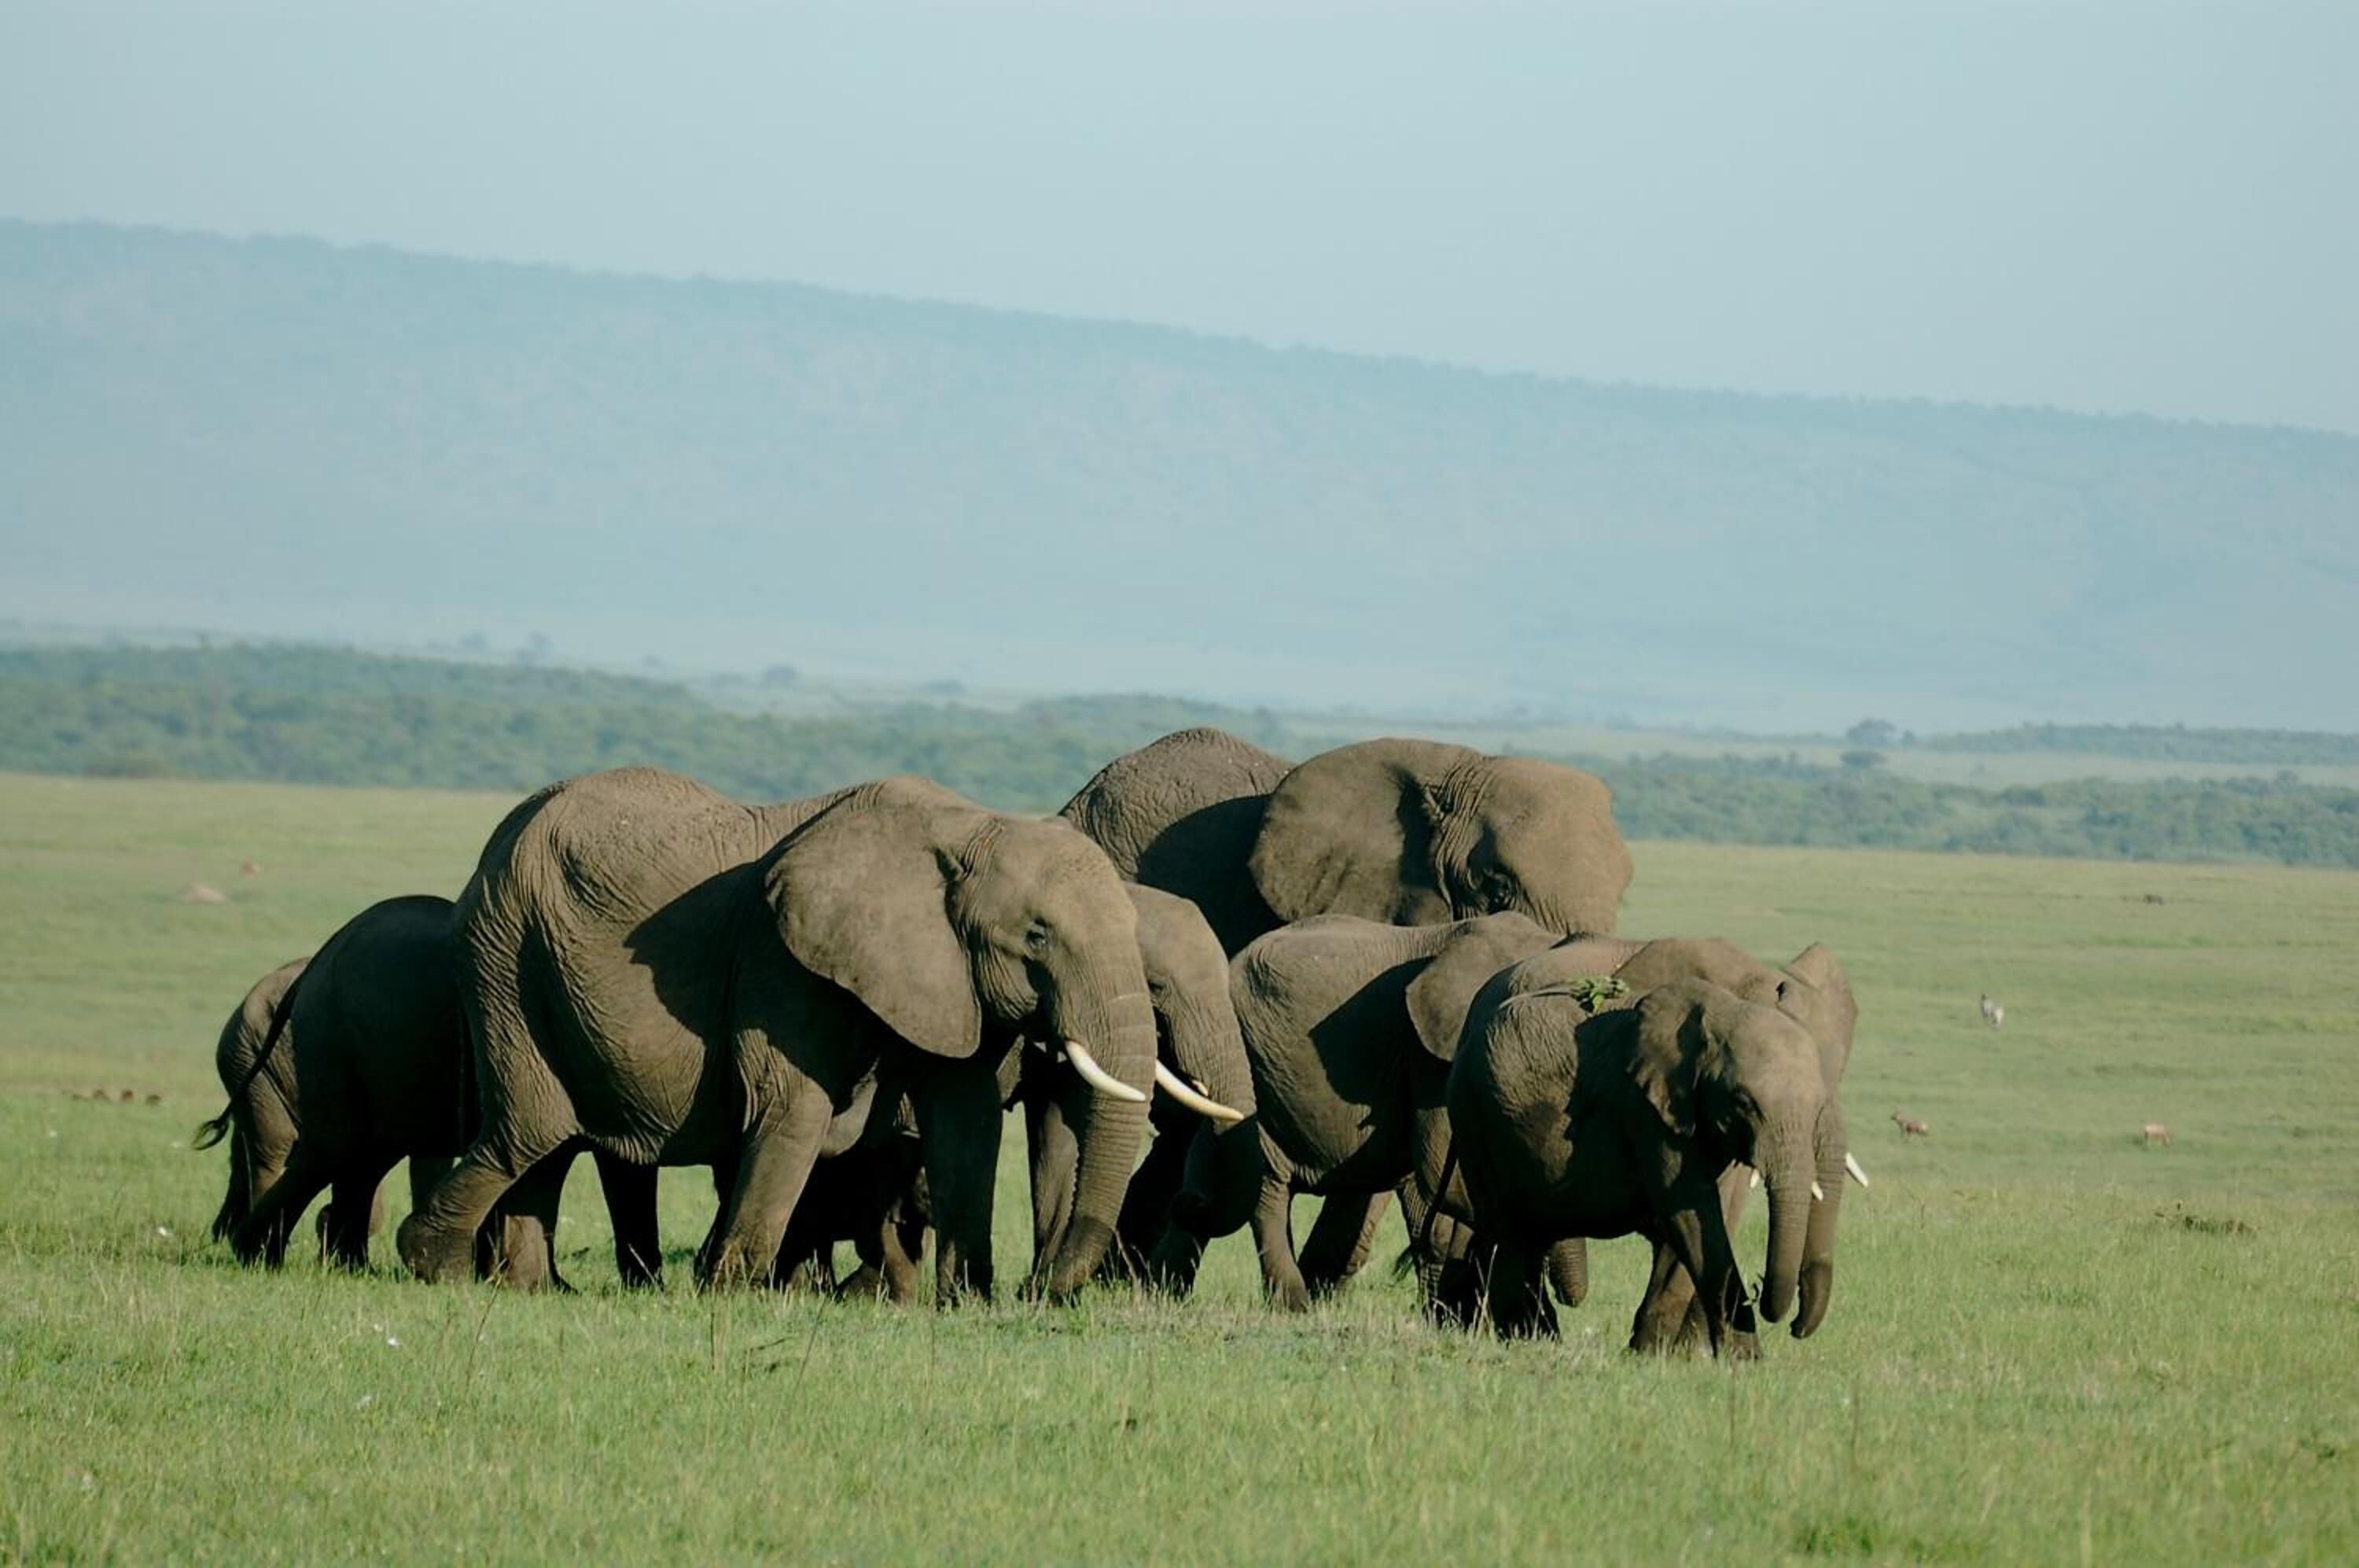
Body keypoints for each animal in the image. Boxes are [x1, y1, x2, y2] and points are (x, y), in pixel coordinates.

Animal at [398, 768, 1165, 1300]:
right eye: (1037, 936)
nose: (1044, 1290)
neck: (968, 826)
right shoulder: (780, 959)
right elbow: (795, 1105)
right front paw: (733, 1291)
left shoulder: (949, 979)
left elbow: (966, 1119)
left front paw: (967, 1302)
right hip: (503, 953)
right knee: (533, 1124)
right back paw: (435, 1265)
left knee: (548, 1139)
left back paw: (528, 1287)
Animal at [1436, 935, 1862, 1350]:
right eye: (1742, 1101)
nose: (1794, 1325)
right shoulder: (1646, 1107)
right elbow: (1692, 1214)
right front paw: (1732, 1358)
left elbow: (1696, 1221)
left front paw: (1662, 1353)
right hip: (1476, 1116)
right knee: (1508, 1229)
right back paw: (1530, 1340)